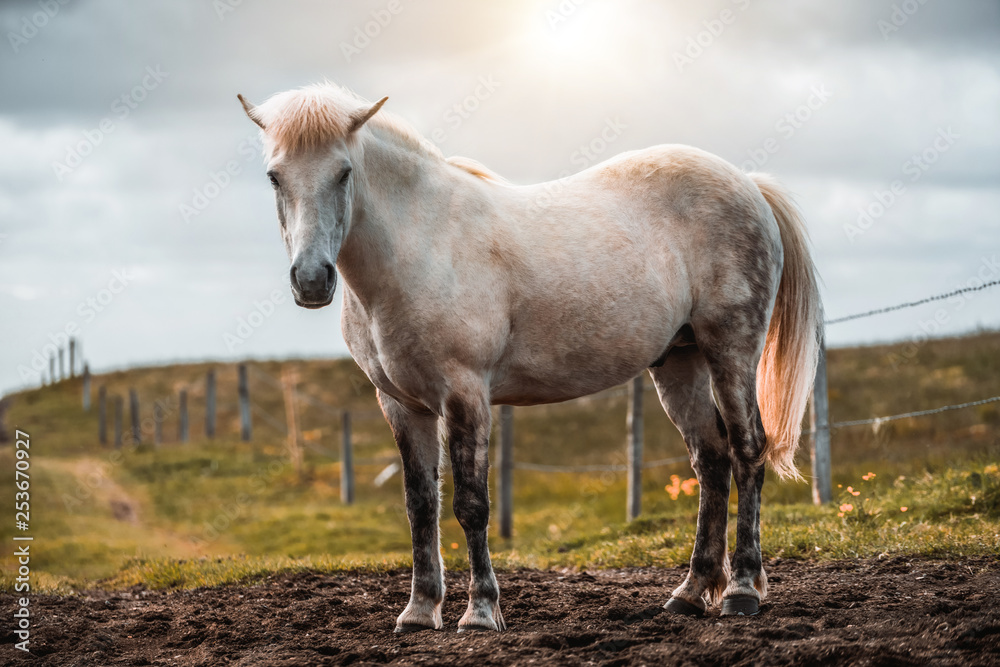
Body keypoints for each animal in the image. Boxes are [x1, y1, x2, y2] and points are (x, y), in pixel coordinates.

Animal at [238, 83, 816, 632]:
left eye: (344, 173)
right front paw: (420, 611)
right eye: (274, 177)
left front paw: (480, 612)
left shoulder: (464, 394)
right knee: (711, 461)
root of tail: (748, 184)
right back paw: (691, 594)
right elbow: (420, 506)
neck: (419, 246)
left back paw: (741, 591)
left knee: (747, 451)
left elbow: (471, 504)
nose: (312, 280)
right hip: (679, 362)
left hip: (730, 350)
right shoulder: (402, 405)